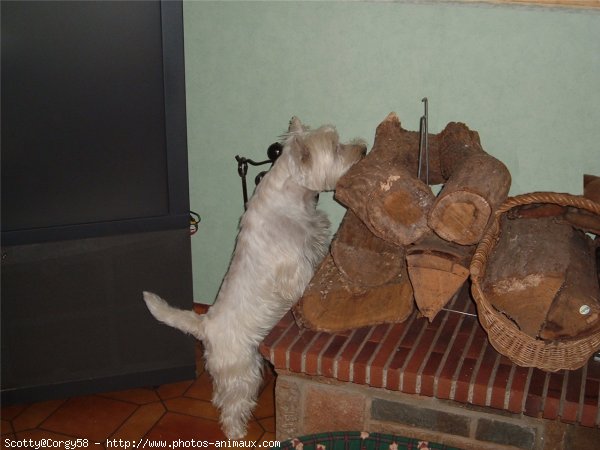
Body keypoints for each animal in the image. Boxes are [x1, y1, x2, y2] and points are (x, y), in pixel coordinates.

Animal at [144, 117, 366, 440]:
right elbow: (306, 278)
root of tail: (205, 325)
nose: (363, 149)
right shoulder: (293, 268)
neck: (295, 198)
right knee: (232, 404)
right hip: (242, 369)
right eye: (337, 147)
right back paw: (237, 432)